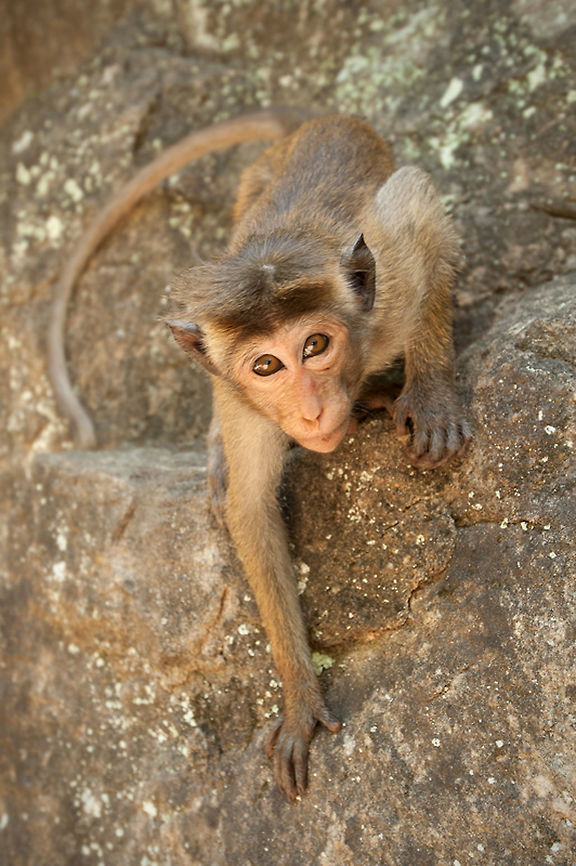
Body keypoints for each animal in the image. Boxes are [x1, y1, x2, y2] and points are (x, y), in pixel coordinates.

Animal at [168, 115, 471, 798]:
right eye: (266, 365)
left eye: (315, 345)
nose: (309, 412)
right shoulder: (247, 406)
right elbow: (250, 510)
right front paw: (300, 698)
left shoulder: (387, 292)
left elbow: (418, 208)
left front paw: (432, 392)